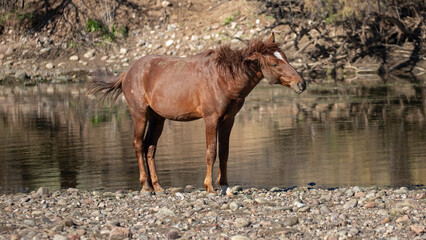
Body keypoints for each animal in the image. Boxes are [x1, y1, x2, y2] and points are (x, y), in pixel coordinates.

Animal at [86, 32, 306, 194]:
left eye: (285, 58)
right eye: (275, 64)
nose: (301, 84)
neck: (225, 78)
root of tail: (127, 73)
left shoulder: (228, 120)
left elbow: (224, 153)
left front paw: (225, 186)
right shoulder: (211, 119)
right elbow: (211, 152)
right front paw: (210, 187)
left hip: (158, 118)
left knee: (150, 147)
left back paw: (158, 186)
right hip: (140, 114)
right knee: (139, 145)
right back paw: (146, 187)